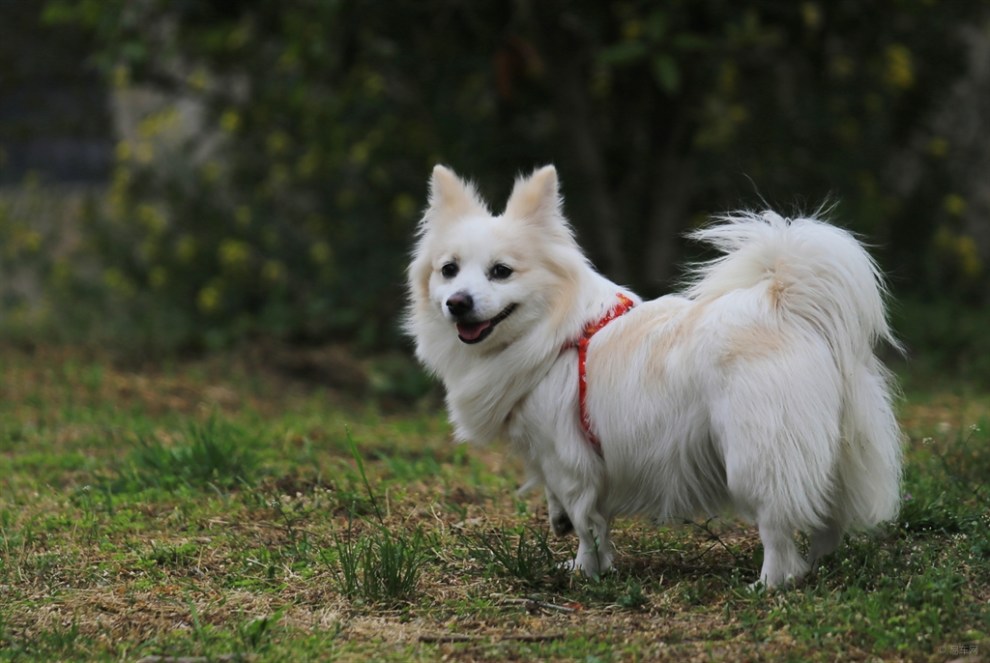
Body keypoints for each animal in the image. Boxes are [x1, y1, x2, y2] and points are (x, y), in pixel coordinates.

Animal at [406, 165, 904, 588]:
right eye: (448, 270)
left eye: (501, 272)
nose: (457, 303)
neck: (554, 332)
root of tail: (787, 305)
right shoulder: (553, 456)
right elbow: (569, 508)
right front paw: (563, 529)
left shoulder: (571, 460)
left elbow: (588, 524)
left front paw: (587, 571)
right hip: (833, 450)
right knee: (827, 519)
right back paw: (818, 567)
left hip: (754, 458)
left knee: (777, 526)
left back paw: (771, 582)